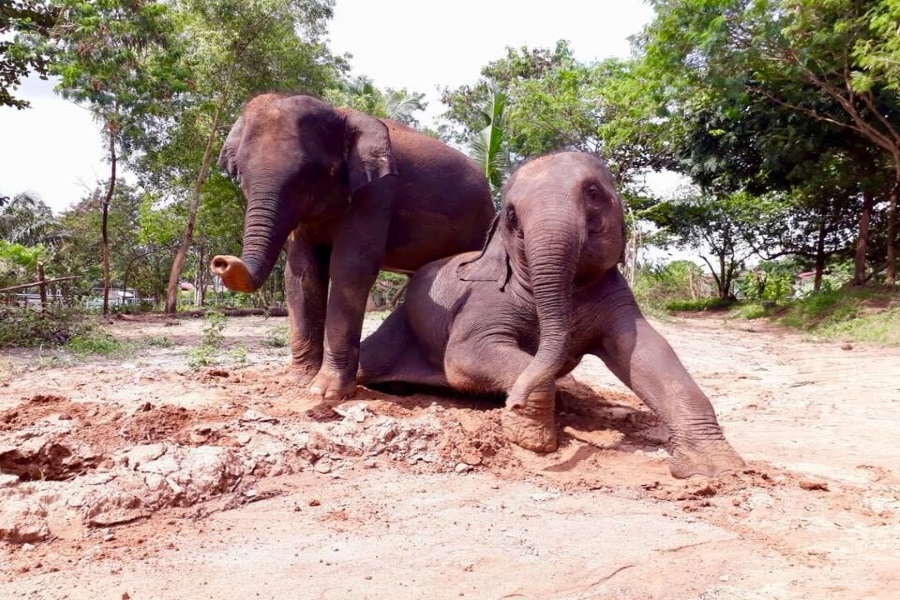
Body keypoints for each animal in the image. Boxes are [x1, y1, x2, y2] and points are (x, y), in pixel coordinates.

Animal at [209, 94, 492, 400]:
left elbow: (350, 268)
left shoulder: (376, 190)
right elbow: (302, 272)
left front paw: (326, 392)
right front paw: (299, 381)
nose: (221, 261)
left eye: (307, 173)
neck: (340, 114)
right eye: (239, 174)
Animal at [358, 152, 744, 480]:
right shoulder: (482, 301)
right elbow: (464, 356)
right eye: (512, 215)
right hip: (401, 321)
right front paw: (530, 436)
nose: (511, 404)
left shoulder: (617, 297)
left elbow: (648, 352)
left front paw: (717, 470)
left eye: (592, 193)